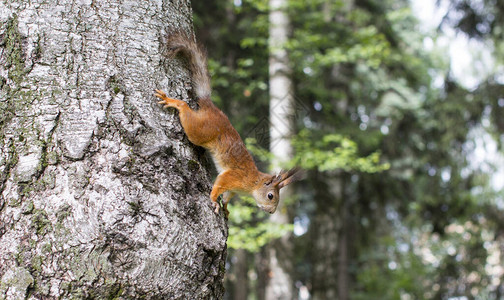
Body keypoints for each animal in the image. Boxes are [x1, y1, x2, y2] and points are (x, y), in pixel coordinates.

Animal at [155, 32, 300, 216]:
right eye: (270, 196)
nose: (271, 212)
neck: (253, 182)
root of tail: (211, 108)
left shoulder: (233, 189)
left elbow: (228, 196)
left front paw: (225, 207)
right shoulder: (234, 177)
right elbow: (219, 185)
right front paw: (213, 200)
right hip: (200, 131)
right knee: (185, 110)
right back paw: (174, 102)